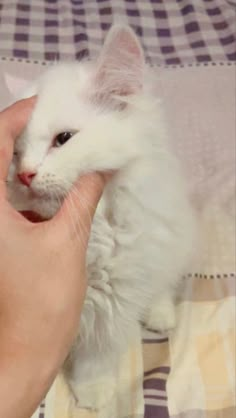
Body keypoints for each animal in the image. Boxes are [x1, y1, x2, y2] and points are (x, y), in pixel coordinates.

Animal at [7, 27, 197, 412]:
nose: (25, 175)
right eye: (15, 153)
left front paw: (93, 395)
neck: (94, 235)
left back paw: (160, 316)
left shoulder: (113, 302)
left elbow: (96, 356)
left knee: (164, 284)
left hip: (174, 243)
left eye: (64, 139)